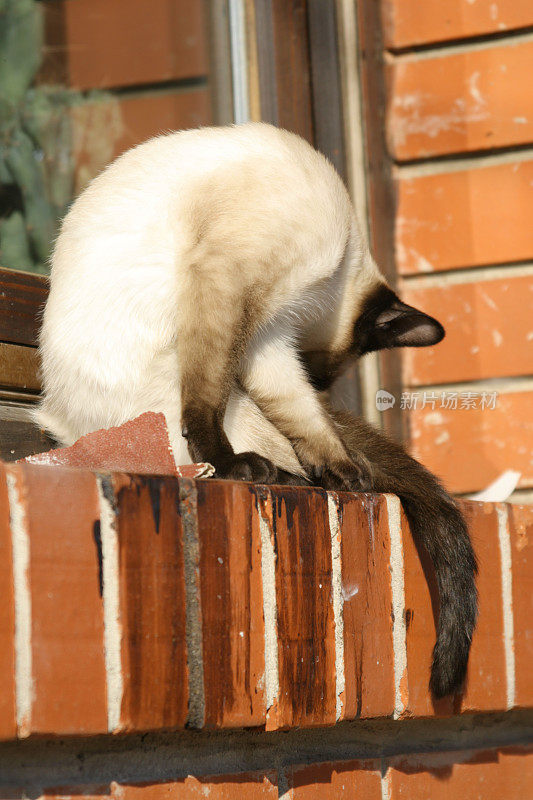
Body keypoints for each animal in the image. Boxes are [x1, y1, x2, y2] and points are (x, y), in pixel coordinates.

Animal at [38, 122, 478, 696]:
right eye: (325, 375)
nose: (325, 384)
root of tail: (60, 426)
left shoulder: (268, 336)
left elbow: (304, 413)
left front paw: (342, 468)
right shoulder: (234, 280)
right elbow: (209, 397)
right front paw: (233, 464)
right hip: (213, 399)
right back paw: (265, 472)